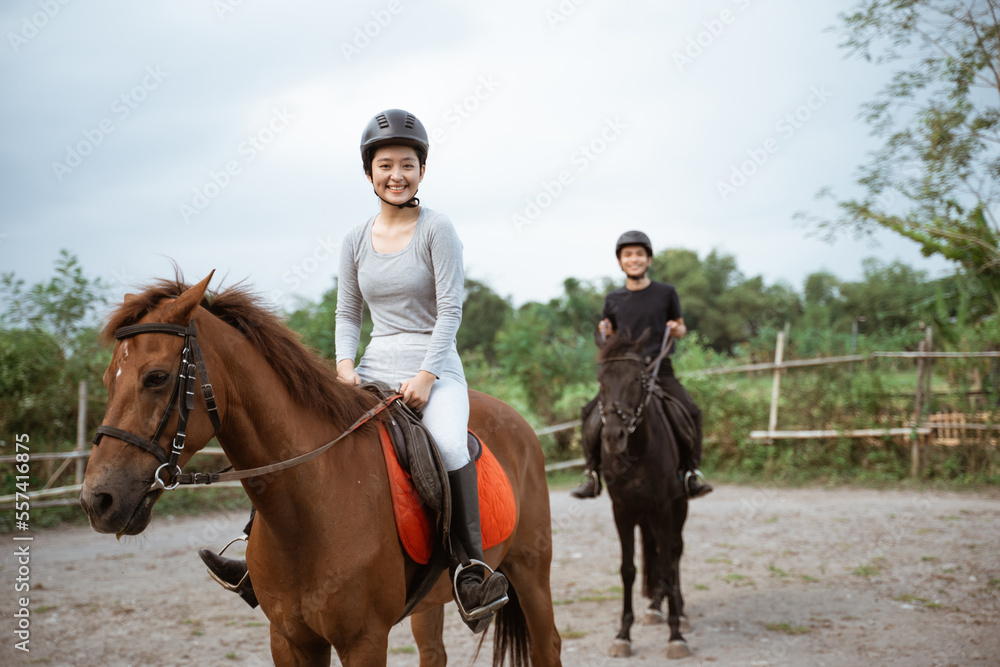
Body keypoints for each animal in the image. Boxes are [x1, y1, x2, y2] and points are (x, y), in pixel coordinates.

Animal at [78, 272, 564, 667]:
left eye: (156, 377)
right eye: (106, 380)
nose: (96, 500)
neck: (309, 506)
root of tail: (517, 420)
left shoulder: (363, 640)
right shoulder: (289, 639)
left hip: (530, 570)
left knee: (548, 645)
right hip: (431, 602)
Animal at [592, 332, 688, 660]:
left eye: (636, 379)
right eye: (601, 380)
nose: (613, 436)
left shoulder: (663, 509)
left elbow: (668, 564)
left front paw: (676, 635)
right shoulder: (622, 511)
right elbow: (628, 569)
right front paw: (623, 635)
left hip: (678, 508)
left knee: (674, 551)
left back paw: (678, 610)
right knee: (656, 552)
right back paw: (656, 607)